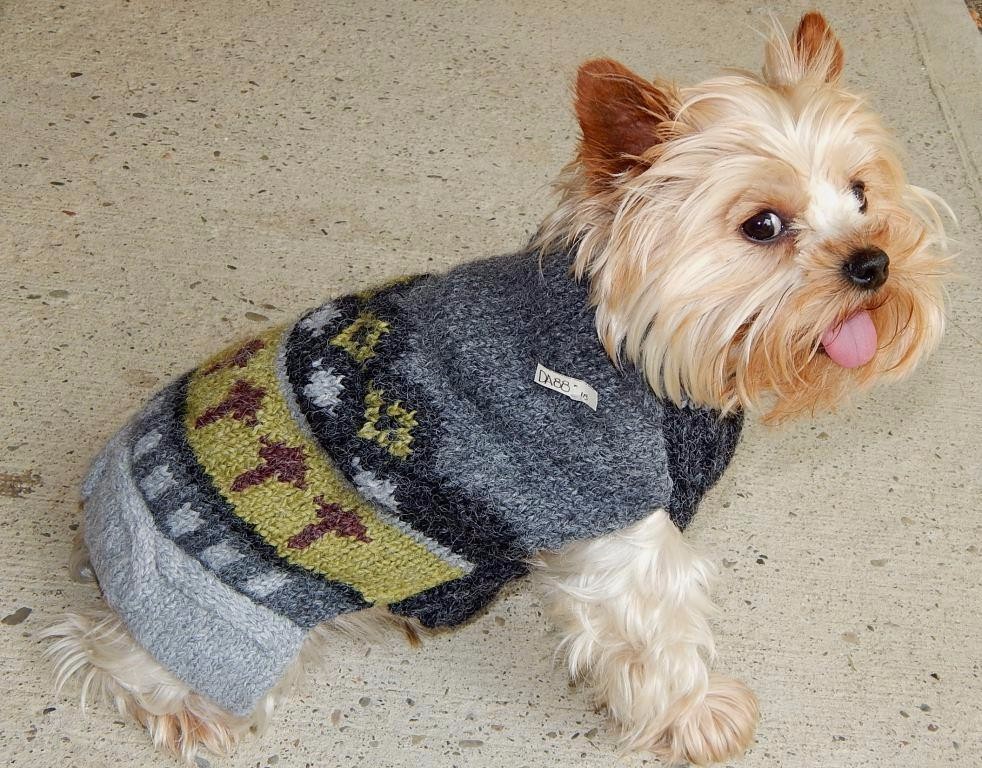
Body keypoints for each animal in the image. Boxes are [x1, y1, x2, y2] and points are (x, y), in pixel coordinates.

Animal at [43, 12, 950, 765]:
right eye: (762, 225)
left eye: (861, 192)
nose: (874, 262)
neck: (632, 344)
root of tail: (101, 502)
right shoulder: (623, 538)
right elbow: (660, 642)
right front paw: (695, 717)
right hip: (222, 622)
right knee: (116, 662)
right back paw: (187, 709)